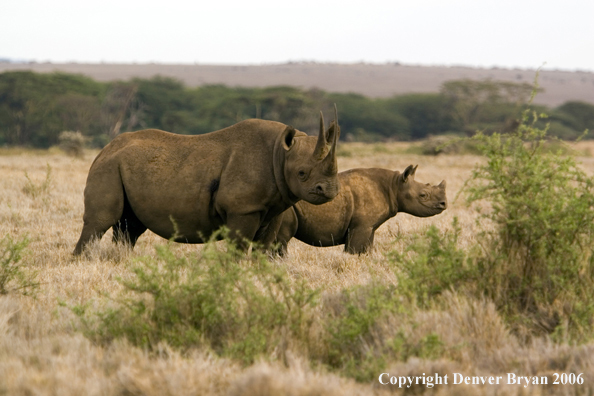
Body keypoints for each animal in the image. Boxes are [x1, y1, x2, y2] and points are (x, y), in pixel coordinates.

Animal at [74, 110, 340, 255]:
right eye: (302, 173)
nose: (330, 191)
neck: (280, 155)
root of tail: (105, 149)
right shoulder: (242, 209)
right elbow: (238, 248)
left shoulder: (273, 209)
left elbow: (263, 249)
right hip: (108, 167)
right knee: (99, 222)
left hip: (122, 166)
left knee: (130, 228)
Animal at [276, 164, 446, 254]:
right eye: (423, 195)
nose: (444, 204)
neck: (394, 186)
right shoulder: (361, 226)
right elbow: (354, 250)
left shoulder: (368, 227)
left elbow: (366, 249)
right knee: (281, 240)